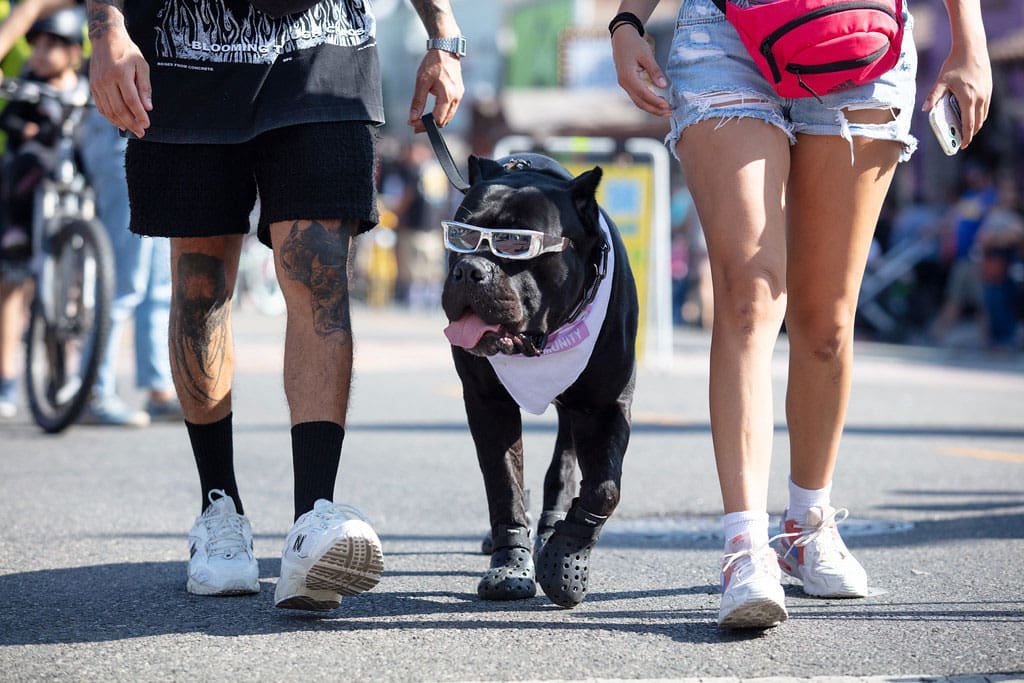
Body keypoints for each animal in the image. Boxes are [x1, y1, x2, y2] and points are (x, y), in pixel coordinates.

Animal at [442, 154, 634, 610]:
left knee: (564, 464)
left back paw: (551, 529)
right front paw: (511, 563)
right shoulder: (487, 401)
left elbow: (604, 487)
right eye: (461, 235)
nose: (469, 269)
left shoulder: (607, 406)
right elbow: (504, 484)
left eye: (515, 244)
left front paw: (566, 557)